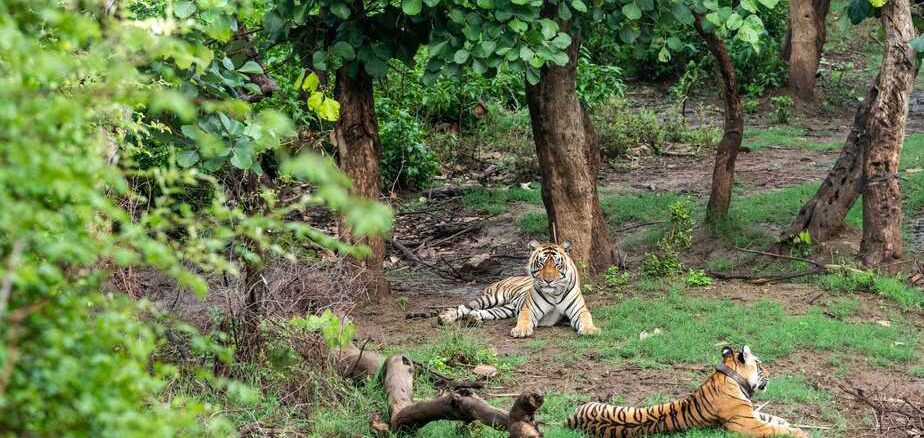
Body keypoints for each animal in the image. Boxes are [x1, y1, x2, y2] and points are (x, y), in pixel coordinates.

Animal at [437, 240, 599, 338]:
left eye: (556, 264)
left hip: (505, 309)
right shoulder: (529, 309)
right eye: (541, 264)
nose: (548, 281)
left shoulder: (579, 310)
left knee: (480, 312)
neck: (554, 293)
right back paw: (445, 317)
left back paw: (474, 318)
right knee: (464, 307)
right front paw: (521, 330)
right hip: (491, 298)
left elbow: (586, 318)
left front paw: (590, 330)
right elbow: (524, 318)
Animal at [566, 345, 808, 438]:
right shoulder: (746, 423)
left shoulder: (750, 413)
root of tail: (571, 419)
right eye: (759, 364)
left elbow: (771, 417)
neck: (730, 376)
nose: (770, 372)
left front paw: (786, 421)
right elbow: (774, 429)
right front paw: (799, 432)